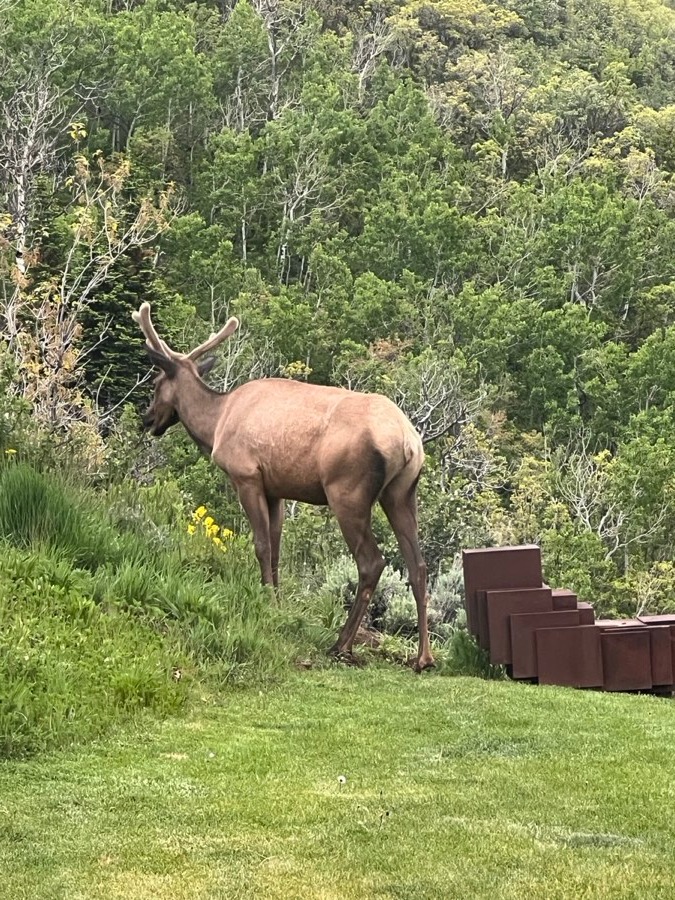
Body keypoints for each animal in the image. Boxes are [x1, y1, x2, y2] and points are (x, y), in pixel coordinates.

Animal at [132, 302, 435, 671]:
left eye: (156, 382)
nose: (147, 419)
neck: (215, 425)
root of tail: (408, 442)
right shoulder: (275, 488)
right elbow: (276, 551)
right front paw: (276, 602)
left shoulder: (246, 475)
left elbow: (261, 546)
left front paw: (266, 604)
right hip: (402, 493)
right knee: (418, 566)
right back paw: (423, 658)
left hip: (347, 491)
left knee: (372, 562)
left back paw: (342, 644)